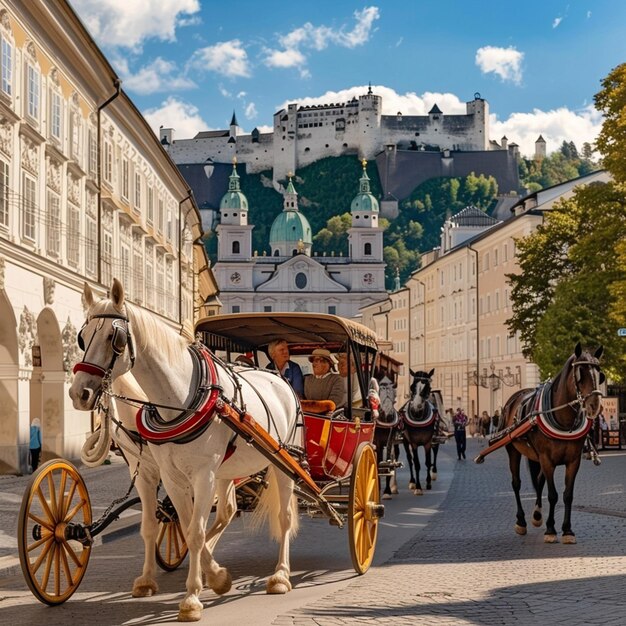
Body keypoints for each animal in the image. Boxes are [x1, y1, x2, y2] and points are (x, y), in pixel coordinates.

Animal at [70, 280, 300, 620]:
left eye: (116, 339)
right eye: (82, 336)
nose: (79, 393)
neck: (180, 398)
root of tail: (278, 378)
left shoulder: (202, 475)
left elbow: (194, 532)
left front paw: (192, 598)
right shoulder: (166, 475)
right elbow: (162, 525)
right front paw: (210, 577)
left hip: (282, 465)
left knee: (284, 517)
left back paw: (281, 576)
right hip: (227, 472)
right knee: (227, 511)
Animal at [498, 342, 600, 540]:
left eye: (600, 373)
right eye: (580, 373)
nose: (594, 405)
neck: (564, 421)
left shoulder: (573, 461)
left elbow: (567, 495)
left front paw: (567, 530)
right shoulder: (547, 459)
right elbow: (553, 495)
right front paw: (551, 529)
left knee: (538, 481)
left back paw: (537, 516)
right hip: (513, 450)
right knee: (516, 483)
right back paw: (521, 521)